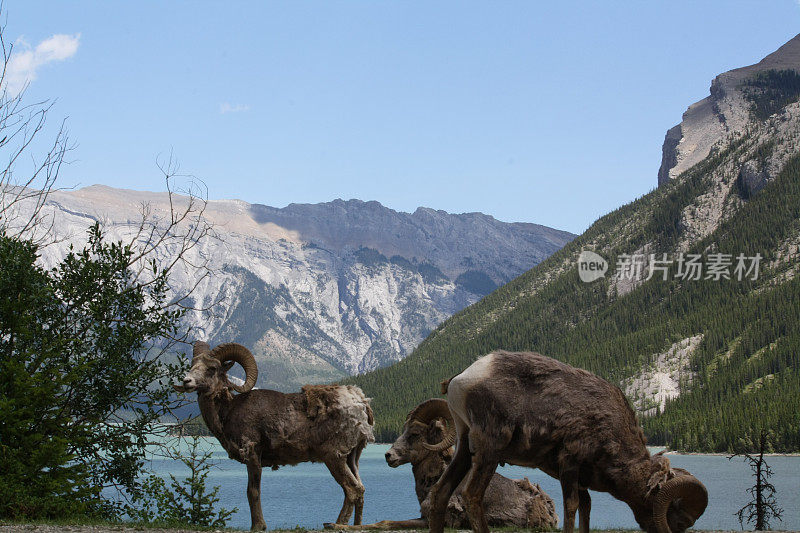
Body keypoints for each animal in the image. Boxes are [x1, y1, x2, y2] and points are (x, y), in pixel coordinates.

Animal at [173, 340, 374, 528]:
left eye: (212, 368)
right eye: (193, 365)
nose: (186, 381)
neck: (229, 410)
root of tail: (361, 402)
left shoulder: (253, 455)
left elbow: (253, 492)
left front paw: (258, 526)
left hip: (333, 457)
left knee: (352, 490)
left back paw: (336, 525)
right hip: (352, 458)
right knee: (361, 490)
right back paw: (357, 526)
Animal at [428, 350, 708, 532]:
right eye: (681, 520)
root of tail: (461, 380)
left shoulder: (580, 478)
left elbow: (586, 506)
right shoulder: (570, 465)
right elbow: (572, 506)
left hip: (465, 448)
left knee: (441, 491)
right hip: (490, 451)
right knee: (472, 495)